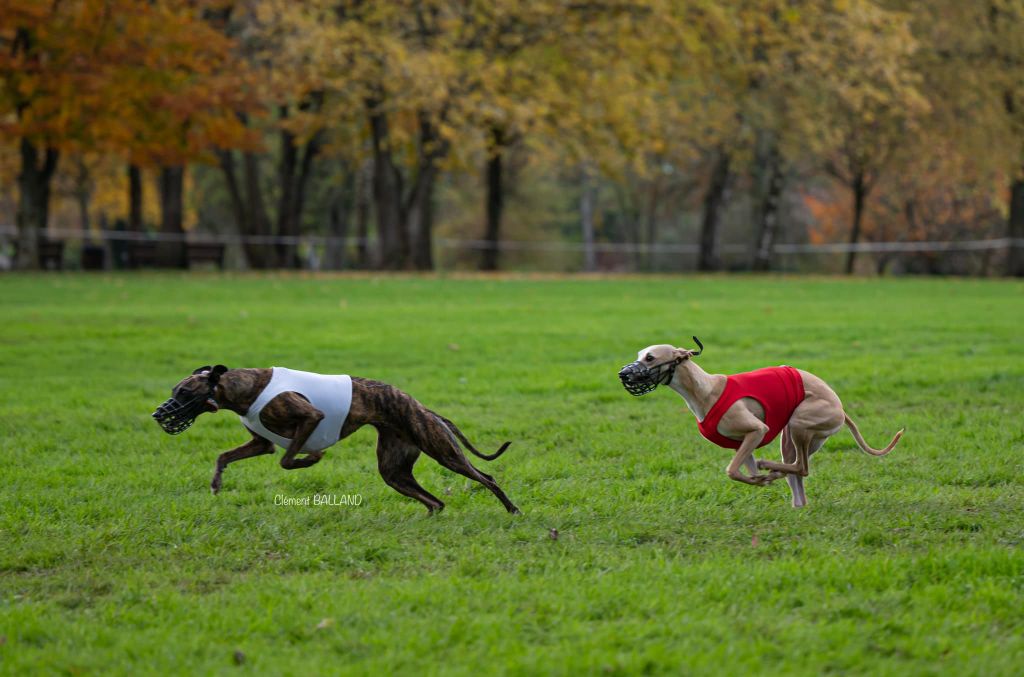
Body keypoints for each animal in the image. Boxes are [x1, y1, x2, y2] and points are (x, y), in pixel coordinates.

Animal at [167, 366, 524, 514]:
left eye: (183, 391)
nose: (160, 414)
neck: (248, 387)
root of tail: (424, 408)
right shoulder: (260, 443)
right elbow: (224, 457)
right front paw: (216, 483)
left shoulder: (310, 417)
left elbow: (287, 459)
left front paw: (310, 459)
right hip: (394, 470)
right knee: (436, 502)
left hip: (443, 451)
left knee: (487, 477)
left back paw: (512, 510)